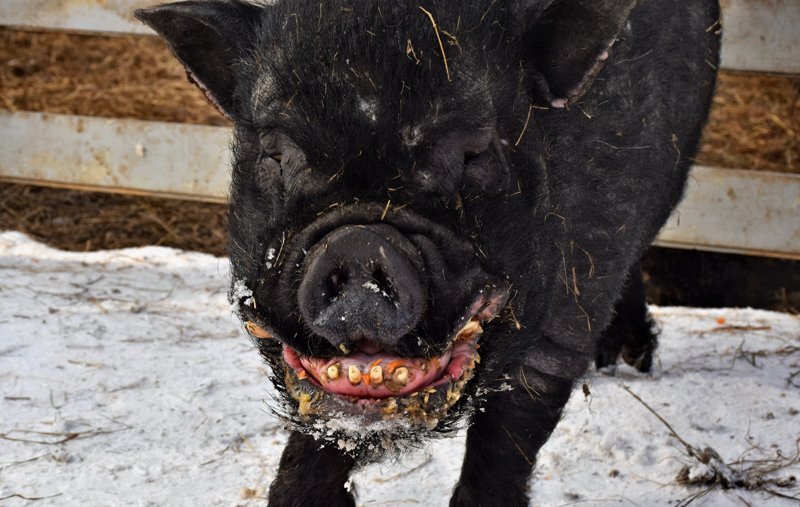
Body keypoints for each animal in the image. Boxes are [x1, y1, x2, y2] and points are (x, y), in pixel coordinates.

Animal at [136, 1, 720, 506]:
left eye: (474, 151)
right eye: (276, 153)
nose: (358, 243)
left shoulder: (574, 300)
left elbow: (508, 438)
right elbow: (314, 449)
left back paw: (629, 361)